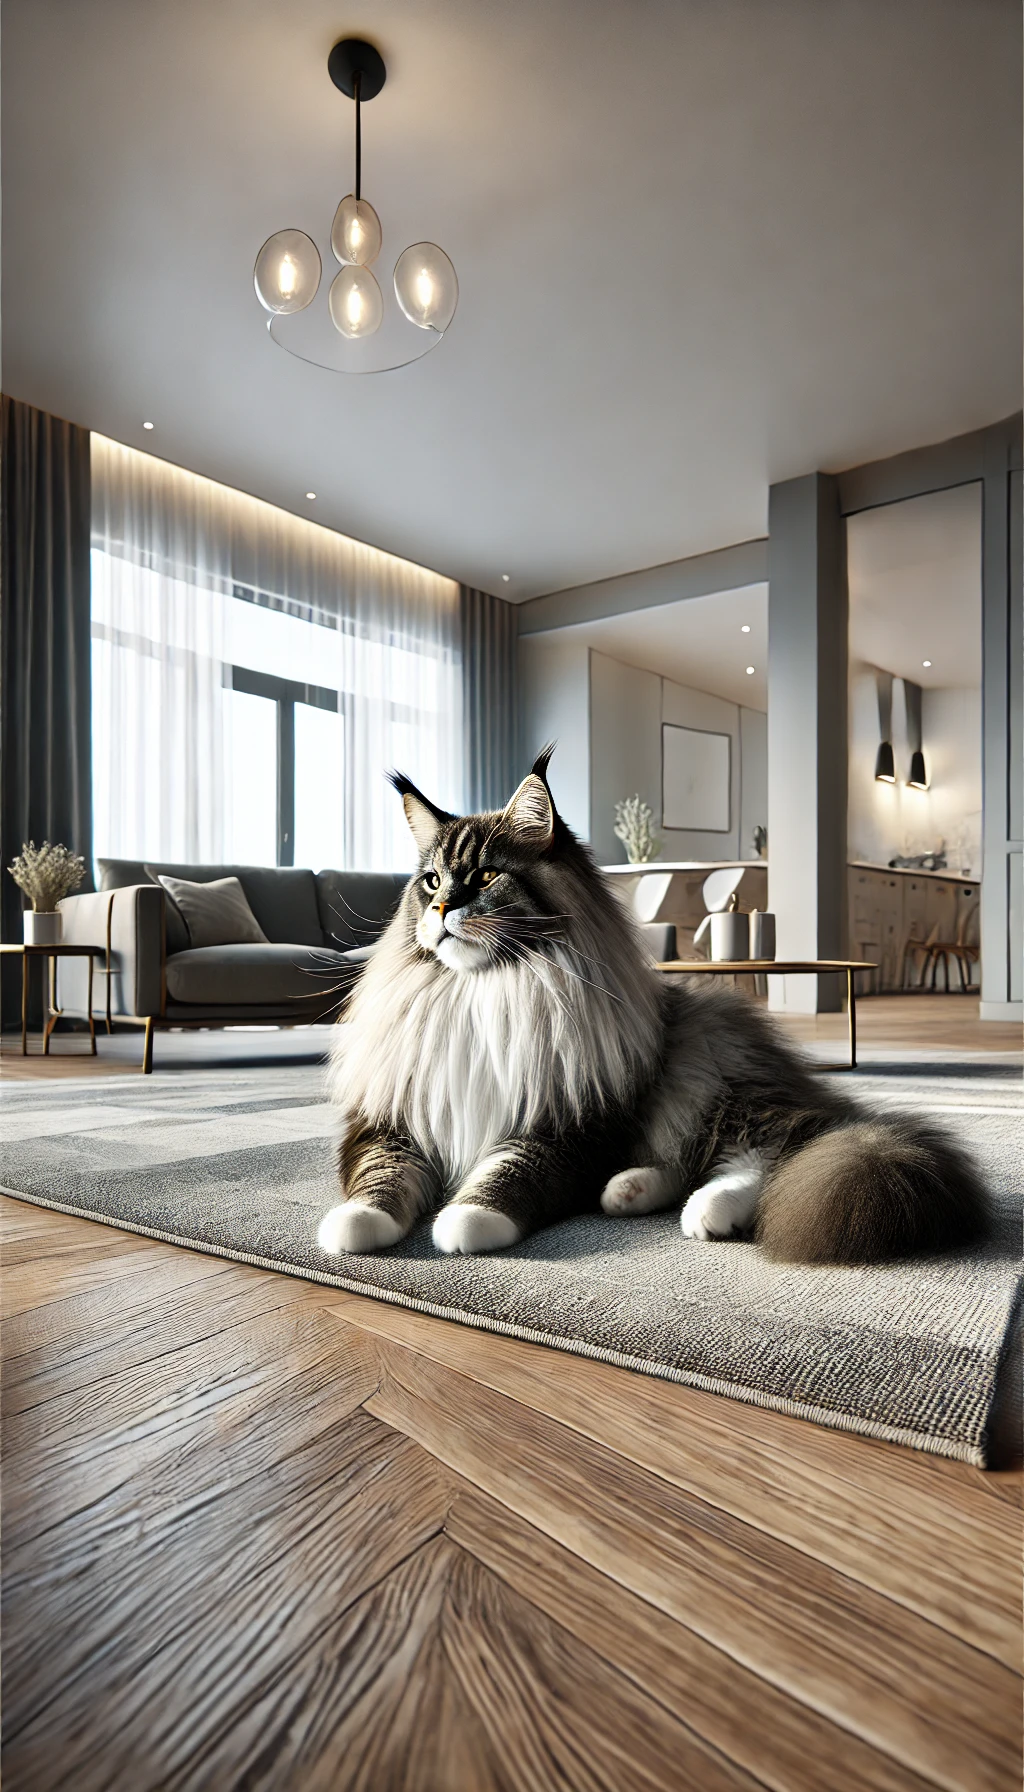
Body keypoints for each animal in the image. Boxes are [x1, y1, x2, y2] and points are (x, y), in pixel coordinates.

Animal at [319, 749, 982, 1268]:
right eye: (431, 882)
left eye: (483, 877)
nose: (441, 910)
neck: (484, 991)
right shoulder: (392, 1119)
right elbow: (378, 1179)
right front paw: (354, 1226)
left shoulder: (567, 1124)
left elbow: (505, 1175)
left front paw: (465, 1222)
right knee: (682, 1161)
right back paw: (628, 1192)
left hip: (706, 1077)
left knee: (775, 1146)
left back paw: (707, 1213)